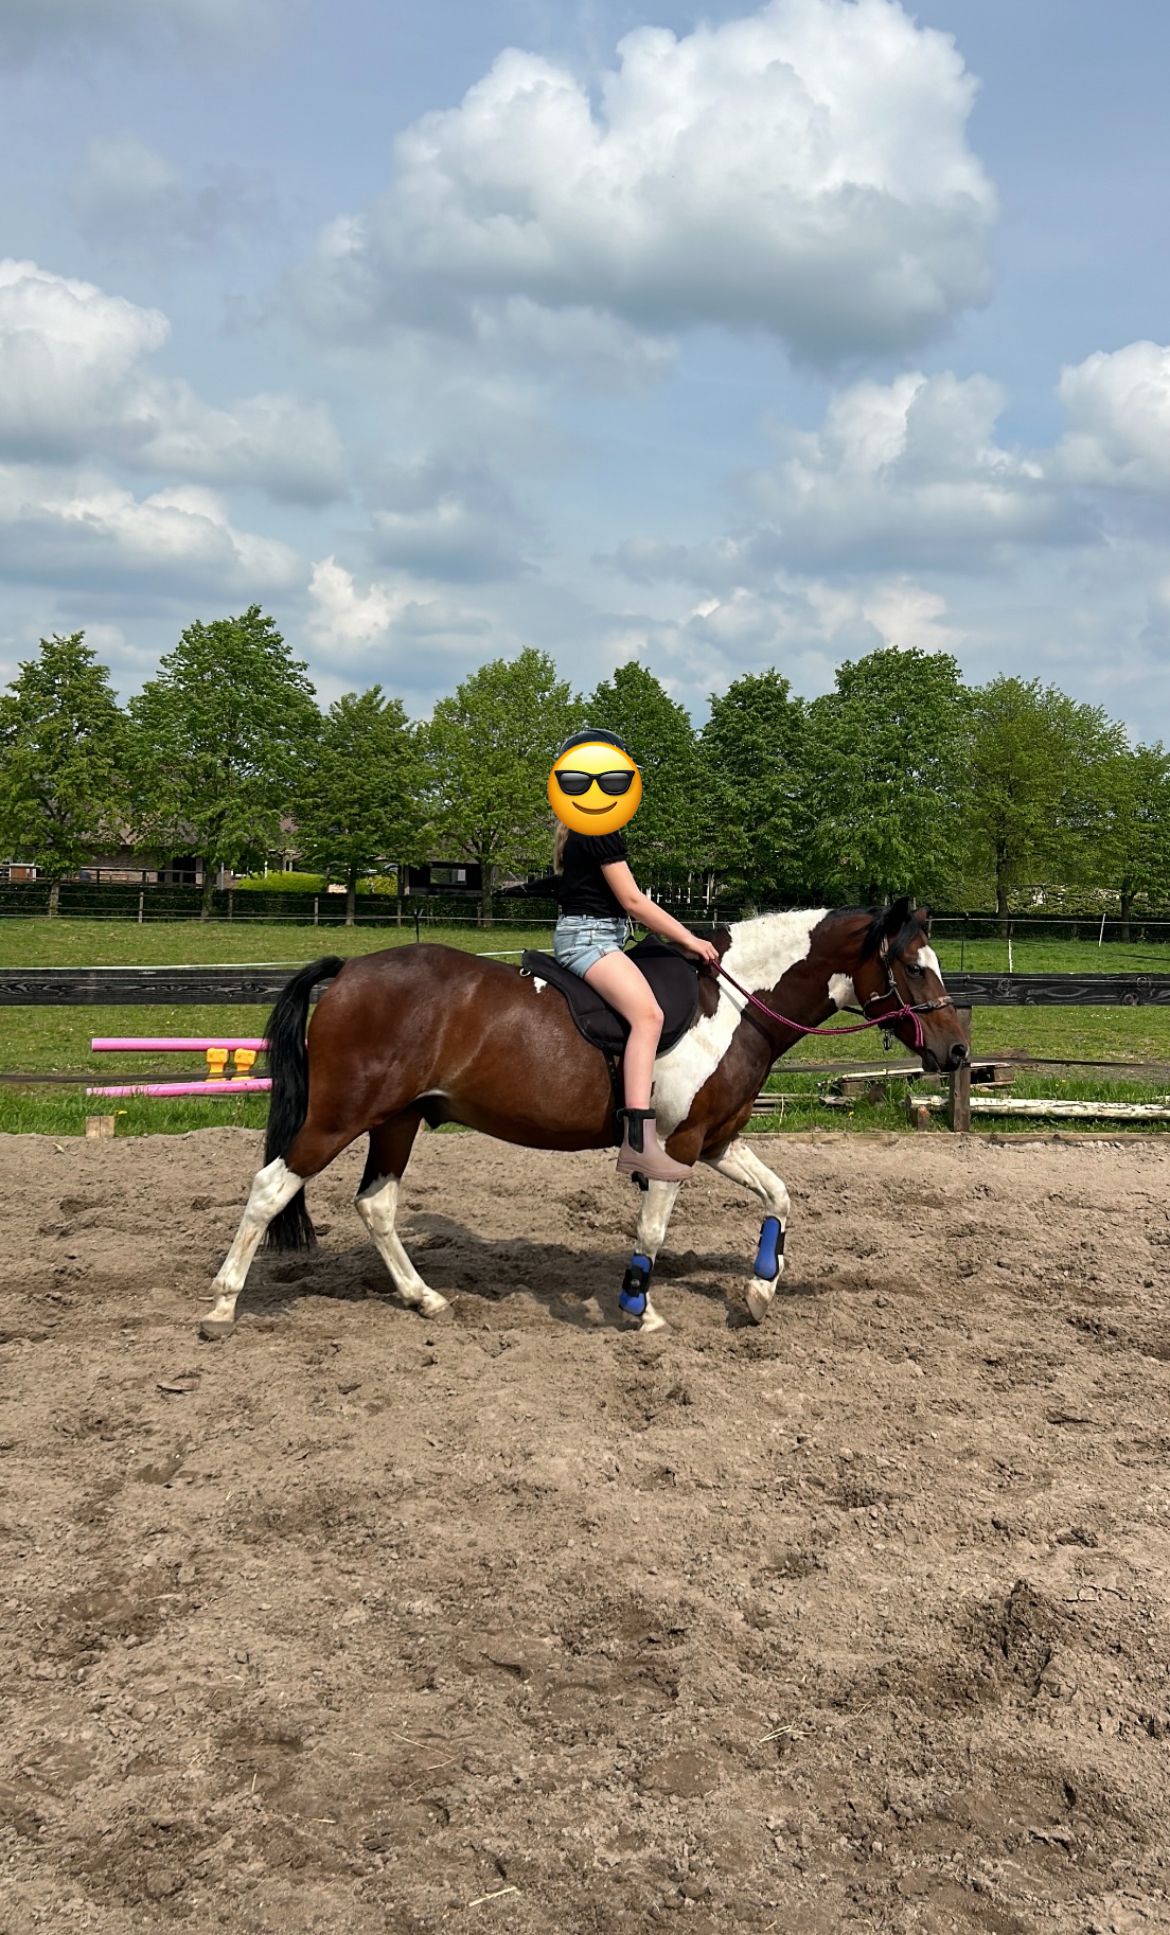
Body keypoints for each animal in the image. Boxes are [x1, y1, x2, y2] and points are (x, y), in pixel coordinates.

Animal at [199, 897, 968, 1340]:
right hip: (340, 1114)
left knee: (376, 1203)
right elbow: (652, 1229)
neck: (735, 1003)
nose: (957, 1049)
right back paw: (222, 1307)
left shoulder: (717, 1140)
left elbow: (780, 1196)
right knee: (271, 1188)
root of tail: (351, 969)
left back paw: (425, 1299)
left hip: (398, 1119)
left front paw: (758, 1288)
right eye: (912, 966)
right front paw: (640, 1307)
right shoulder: (678, 1145)